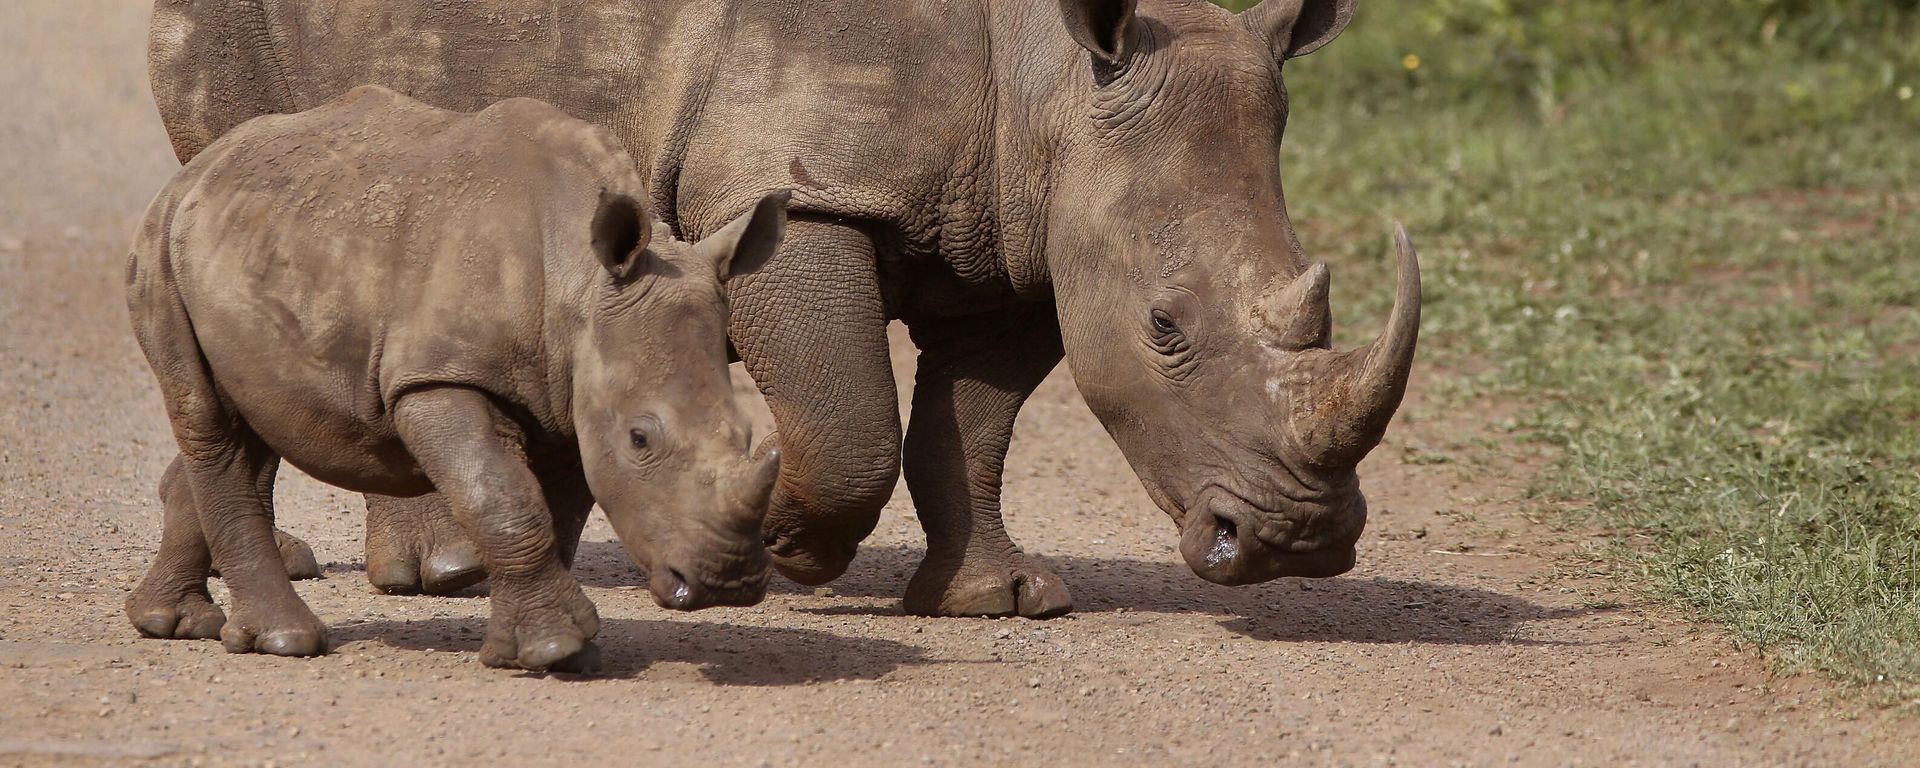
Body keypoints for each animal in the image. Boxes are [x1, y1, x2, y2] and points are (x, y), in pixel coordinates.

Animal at [124, 85, 787, 669]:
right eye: (641, 439)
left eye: (745, 435)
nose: (727, 583)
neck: (579, 281)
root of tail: (198, 170)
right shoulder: (438, 376)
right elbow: (502, 497)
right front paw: (552, 649)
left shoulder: (567, 390)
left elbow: (549, 513)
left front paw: (548, 648)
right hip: (160, 248)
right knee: (210, 420)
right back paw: (284, 642)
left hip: (251, 246)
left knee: (255, 418)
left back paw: (169, 623)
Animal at [149, 0, 1421, 618]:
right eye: (1167, 328)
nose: (1296, 545)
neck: (1051, 83)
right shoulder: (798, 188)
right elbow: (852, 418)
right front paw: (788, 549)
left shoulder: (1026, 234)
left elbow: (972, 430)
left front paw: (998, 603)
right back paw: (447, 572)